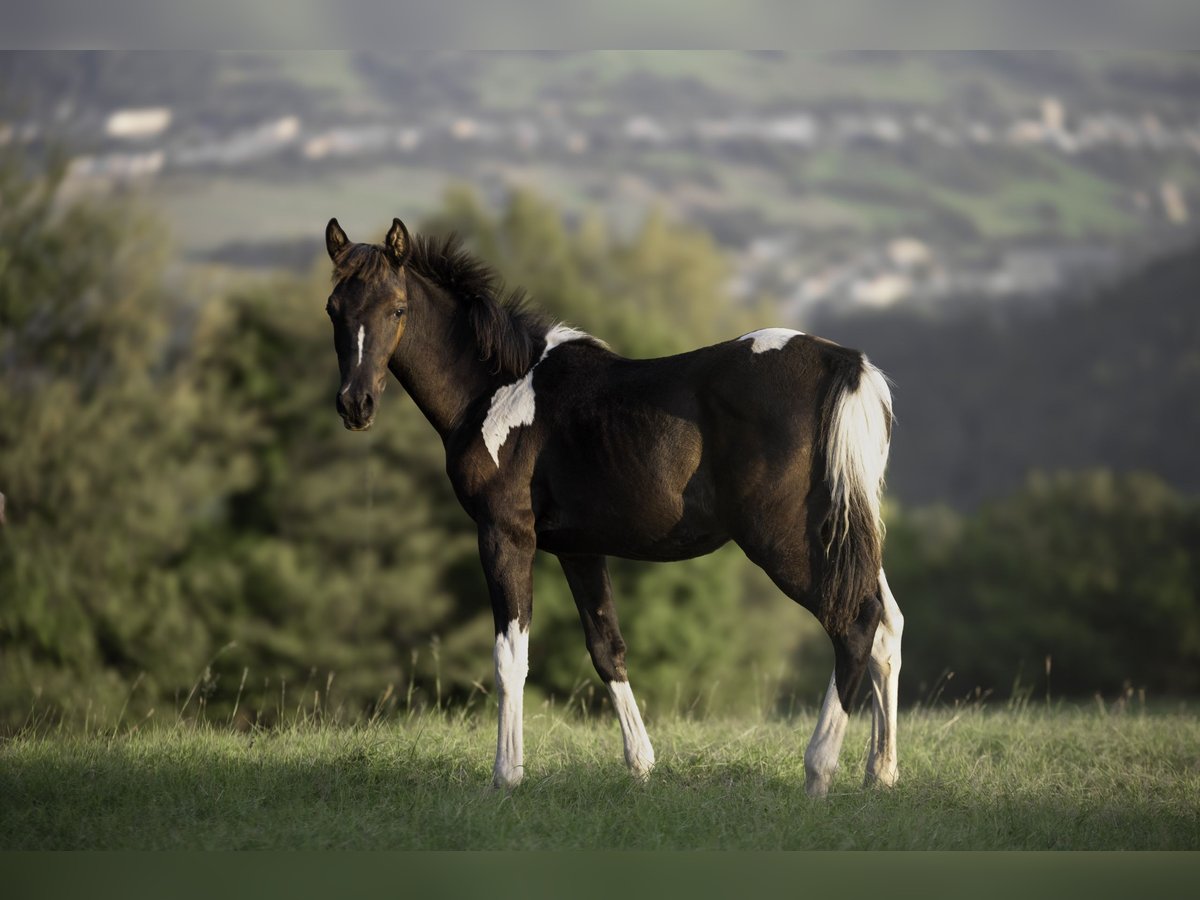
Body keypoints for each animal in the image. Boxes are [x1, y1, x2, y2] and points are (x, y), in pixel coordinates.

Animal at [323, 216, 904, 798]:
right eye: (333, 308)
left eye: (397, 308)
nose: (355, 405)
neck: (496, 388)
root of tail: (843, 364)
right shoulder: (579, 550)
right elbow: (607, 646)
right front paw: (641, 765)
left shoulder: (504, 534)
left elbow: (511, 656)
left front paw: (506, 776)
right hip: (850, 532)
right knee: (886, 627)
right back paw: (881, 772)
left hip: (787, 540)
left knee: (854, 622)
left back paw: (819, 771)